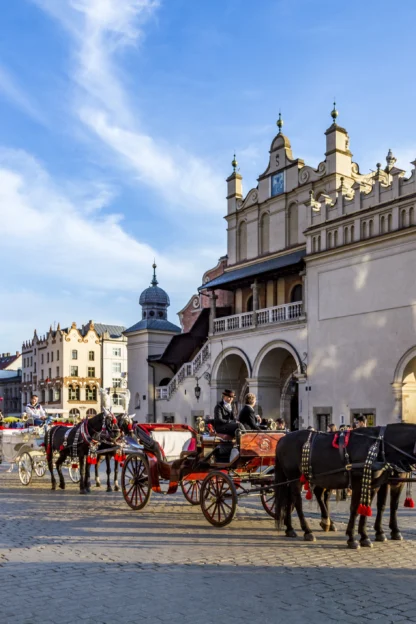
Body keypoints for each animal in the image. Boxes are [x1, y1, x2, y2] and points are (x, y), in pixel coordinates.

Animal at [274, 426, 414, 548]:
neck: (378, 445)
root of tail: (283, 438)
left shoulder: (375, 484)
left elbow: (380, 507)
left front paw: (366, 536)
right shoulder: (362, 483)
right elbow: (359, 508)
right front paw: (353, 538)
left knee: (292, 499)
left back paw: (292, 528)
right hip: (295, 478)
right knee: (297, 502)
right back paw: (308, 531)